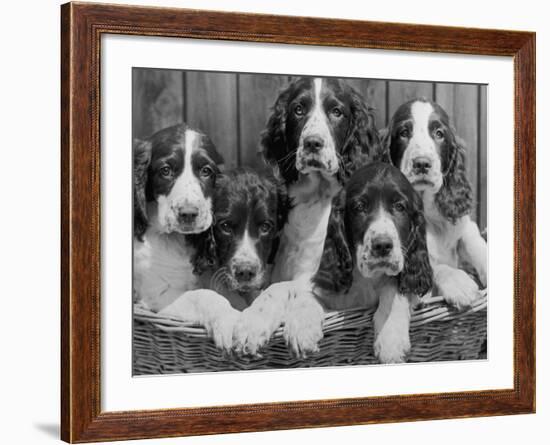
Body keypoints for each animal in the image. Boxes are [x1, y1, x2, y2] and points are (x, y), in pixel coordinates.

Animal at [231, 76, 382, 354]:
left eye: (337, 111)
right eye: (298, 110)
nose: (312, 143)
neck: (317, 198)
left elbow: (287, 289)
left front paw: (283, 324)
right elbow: (276, 288)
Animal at [386, 97, 490, 306]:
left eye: (439, 133)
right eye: (403, 133)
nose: (422, 163)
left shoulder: (463, 224)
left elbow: (473, 240)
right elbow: (433, 266)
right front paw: (458, 283)